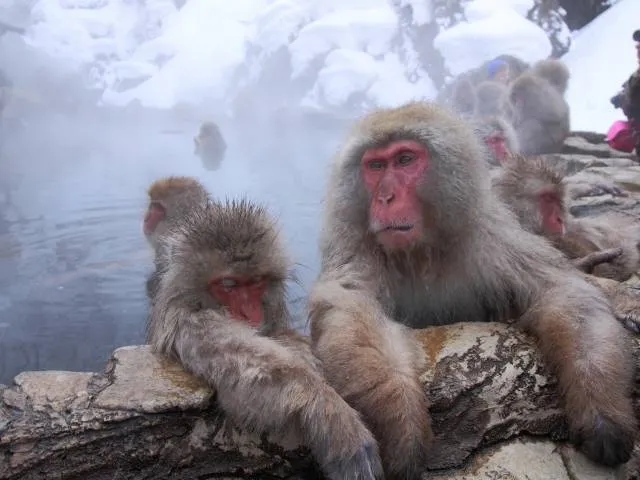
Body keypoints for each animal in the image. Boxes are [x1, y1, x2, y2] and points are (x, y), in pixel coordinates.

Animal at [147, 198, 383, 480]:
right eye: (229, 284)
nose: (250, 312)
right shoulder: (188, 321)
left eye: (256, 281)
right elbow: (251, 370)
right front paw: (331, 413)